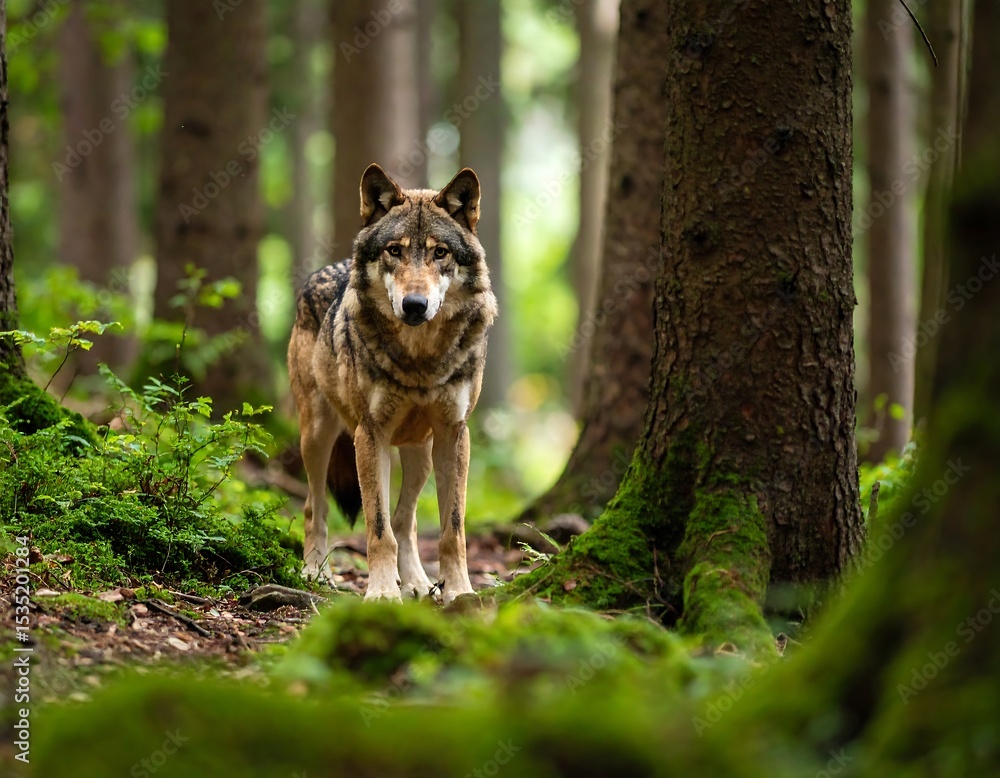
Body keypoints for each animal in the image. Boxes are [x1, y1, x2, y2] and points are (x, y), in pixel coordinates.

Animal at [287, 163, 498, 603]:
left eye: (440, 252)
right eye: (394, 251)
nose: (414, 305)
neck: (420, 359)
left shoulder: (455, 435)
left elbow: (452, 529)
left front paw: (460, 592)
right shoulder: (371, 435)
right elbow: (378, 528)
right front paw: (382, 593)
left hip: (421, 453)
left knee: (409, 522)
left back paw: (417, 582)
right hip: (318, 435)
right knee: (315, 507)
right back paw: (316, 573)